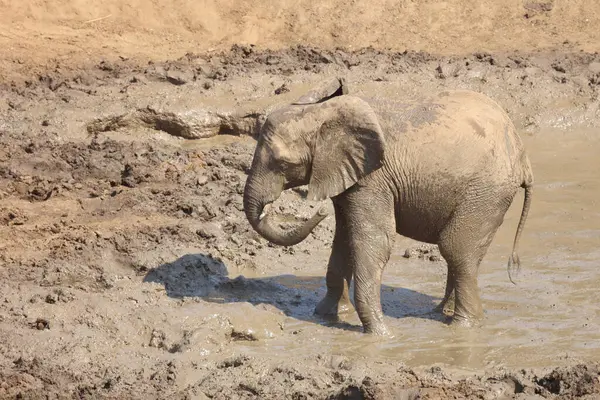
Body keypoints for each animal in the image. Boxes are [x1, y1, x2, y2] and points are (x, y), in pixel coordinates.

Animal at [244, 78, 536, 334]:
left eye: (282, 163)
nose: (319, 211)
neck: (322, 114)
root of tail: (523, 156)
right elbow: (344, 241)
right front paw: (326, 315)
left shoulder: (374, 178)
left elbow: (374, 242)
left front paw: (380, 335)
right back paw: (440, 313)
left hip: (486, 192)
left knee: (456, 249)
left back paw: (463, 327)